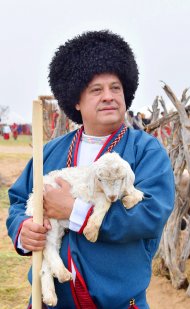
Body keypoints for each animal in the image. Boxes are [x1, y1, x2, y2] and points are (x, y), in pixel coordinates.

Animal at [26, 152, 143, 306]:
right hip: (49, 219)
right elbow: (104, 203)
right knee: (48, 245)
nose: (113, 196)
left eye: (121, 178)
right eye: (100, 179)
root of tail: (31, 199)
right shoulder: (84, 192)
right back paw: (63, 275)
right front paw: (91, 232)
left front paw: (128, 200)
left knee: (47, 258)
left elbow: (138, 193)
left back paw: (52, 291)